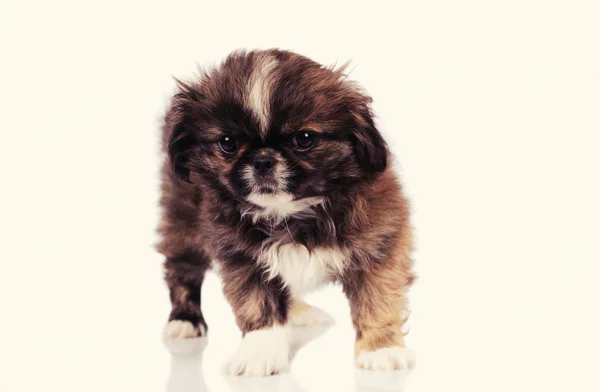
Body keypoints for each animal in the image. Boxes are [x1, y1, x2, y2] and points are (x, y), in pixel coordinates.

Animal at [157, 49, 414, 376]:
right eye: (227, 143)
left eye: (304, 139)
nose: (263, 160)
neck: (291, 213)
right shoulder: (242, 257)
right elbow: (258, 305)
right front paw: (260, 353)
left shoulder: (380, 244)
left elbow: (378, 299)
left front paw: (381, 349)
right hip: (184, 223)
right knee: (182, 270)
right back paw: (184, 321)